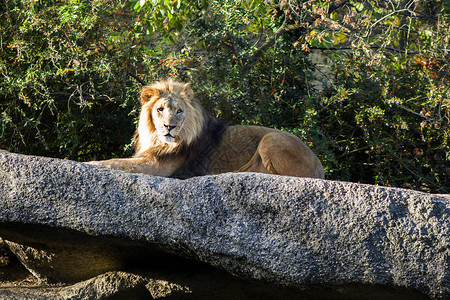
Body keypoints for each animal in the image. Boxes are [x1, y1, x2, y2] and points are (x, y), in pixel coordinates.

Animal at [88, 78, 326, 179]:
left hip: (271, 139)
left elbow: (114, 162)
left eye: (179, 111)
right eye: (160, 109)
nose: (169, 127)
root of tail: (321, 170)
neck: (157, 138)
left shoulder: (158, 166)